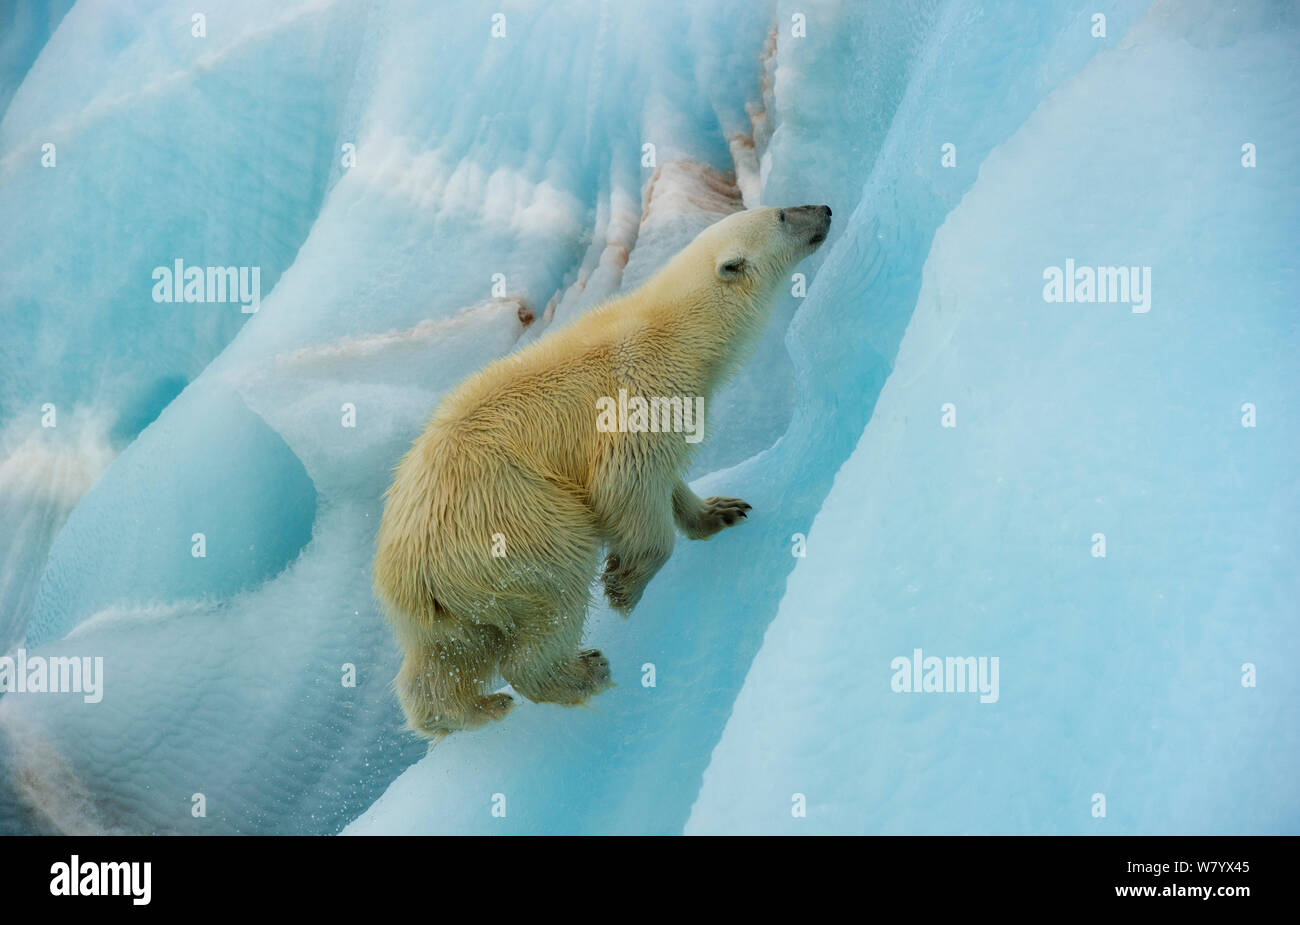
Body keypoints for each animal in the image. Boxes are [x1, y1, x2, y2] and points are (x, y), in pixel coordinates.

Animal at [373, 204, 832, 741]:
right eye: (782, 215)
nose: (825, 209)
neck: (674, 328)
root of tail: (409, 573)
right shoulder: (641, 392)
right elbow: (626, 483)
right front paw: (625, 584)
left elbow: (664, 478)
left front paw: (721, 510)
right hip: (514, 523)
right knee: (555, 589)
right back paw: (583, 673)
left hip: (452, 597)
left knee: (451, 652)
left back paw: (469, 712)